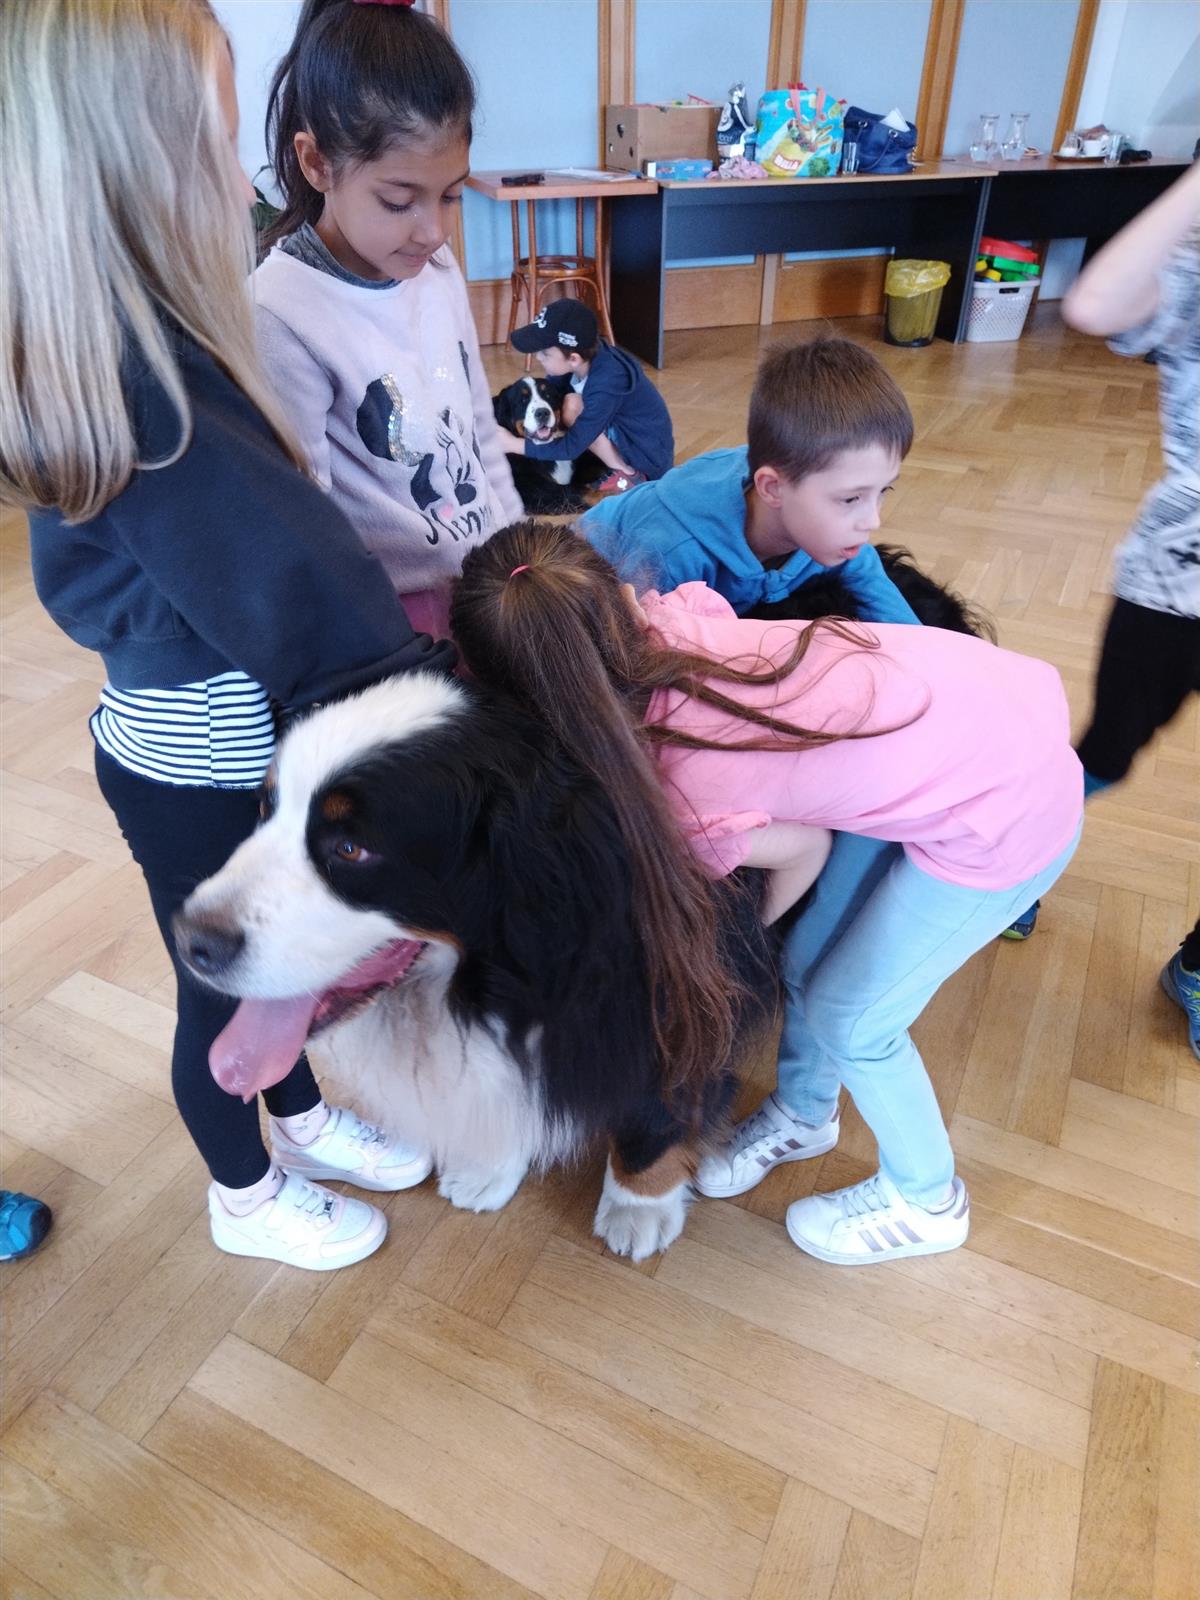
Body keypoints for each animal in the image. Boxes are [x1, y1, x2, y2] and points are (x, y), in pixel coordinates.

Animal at [173, 672, 773, 1262]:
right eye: (265, 811)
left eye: (350, 849)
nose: (190, 940)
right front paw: (493, 1164)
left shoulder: (683, 998)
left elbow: (659, 1109)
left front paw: (639, 1204)